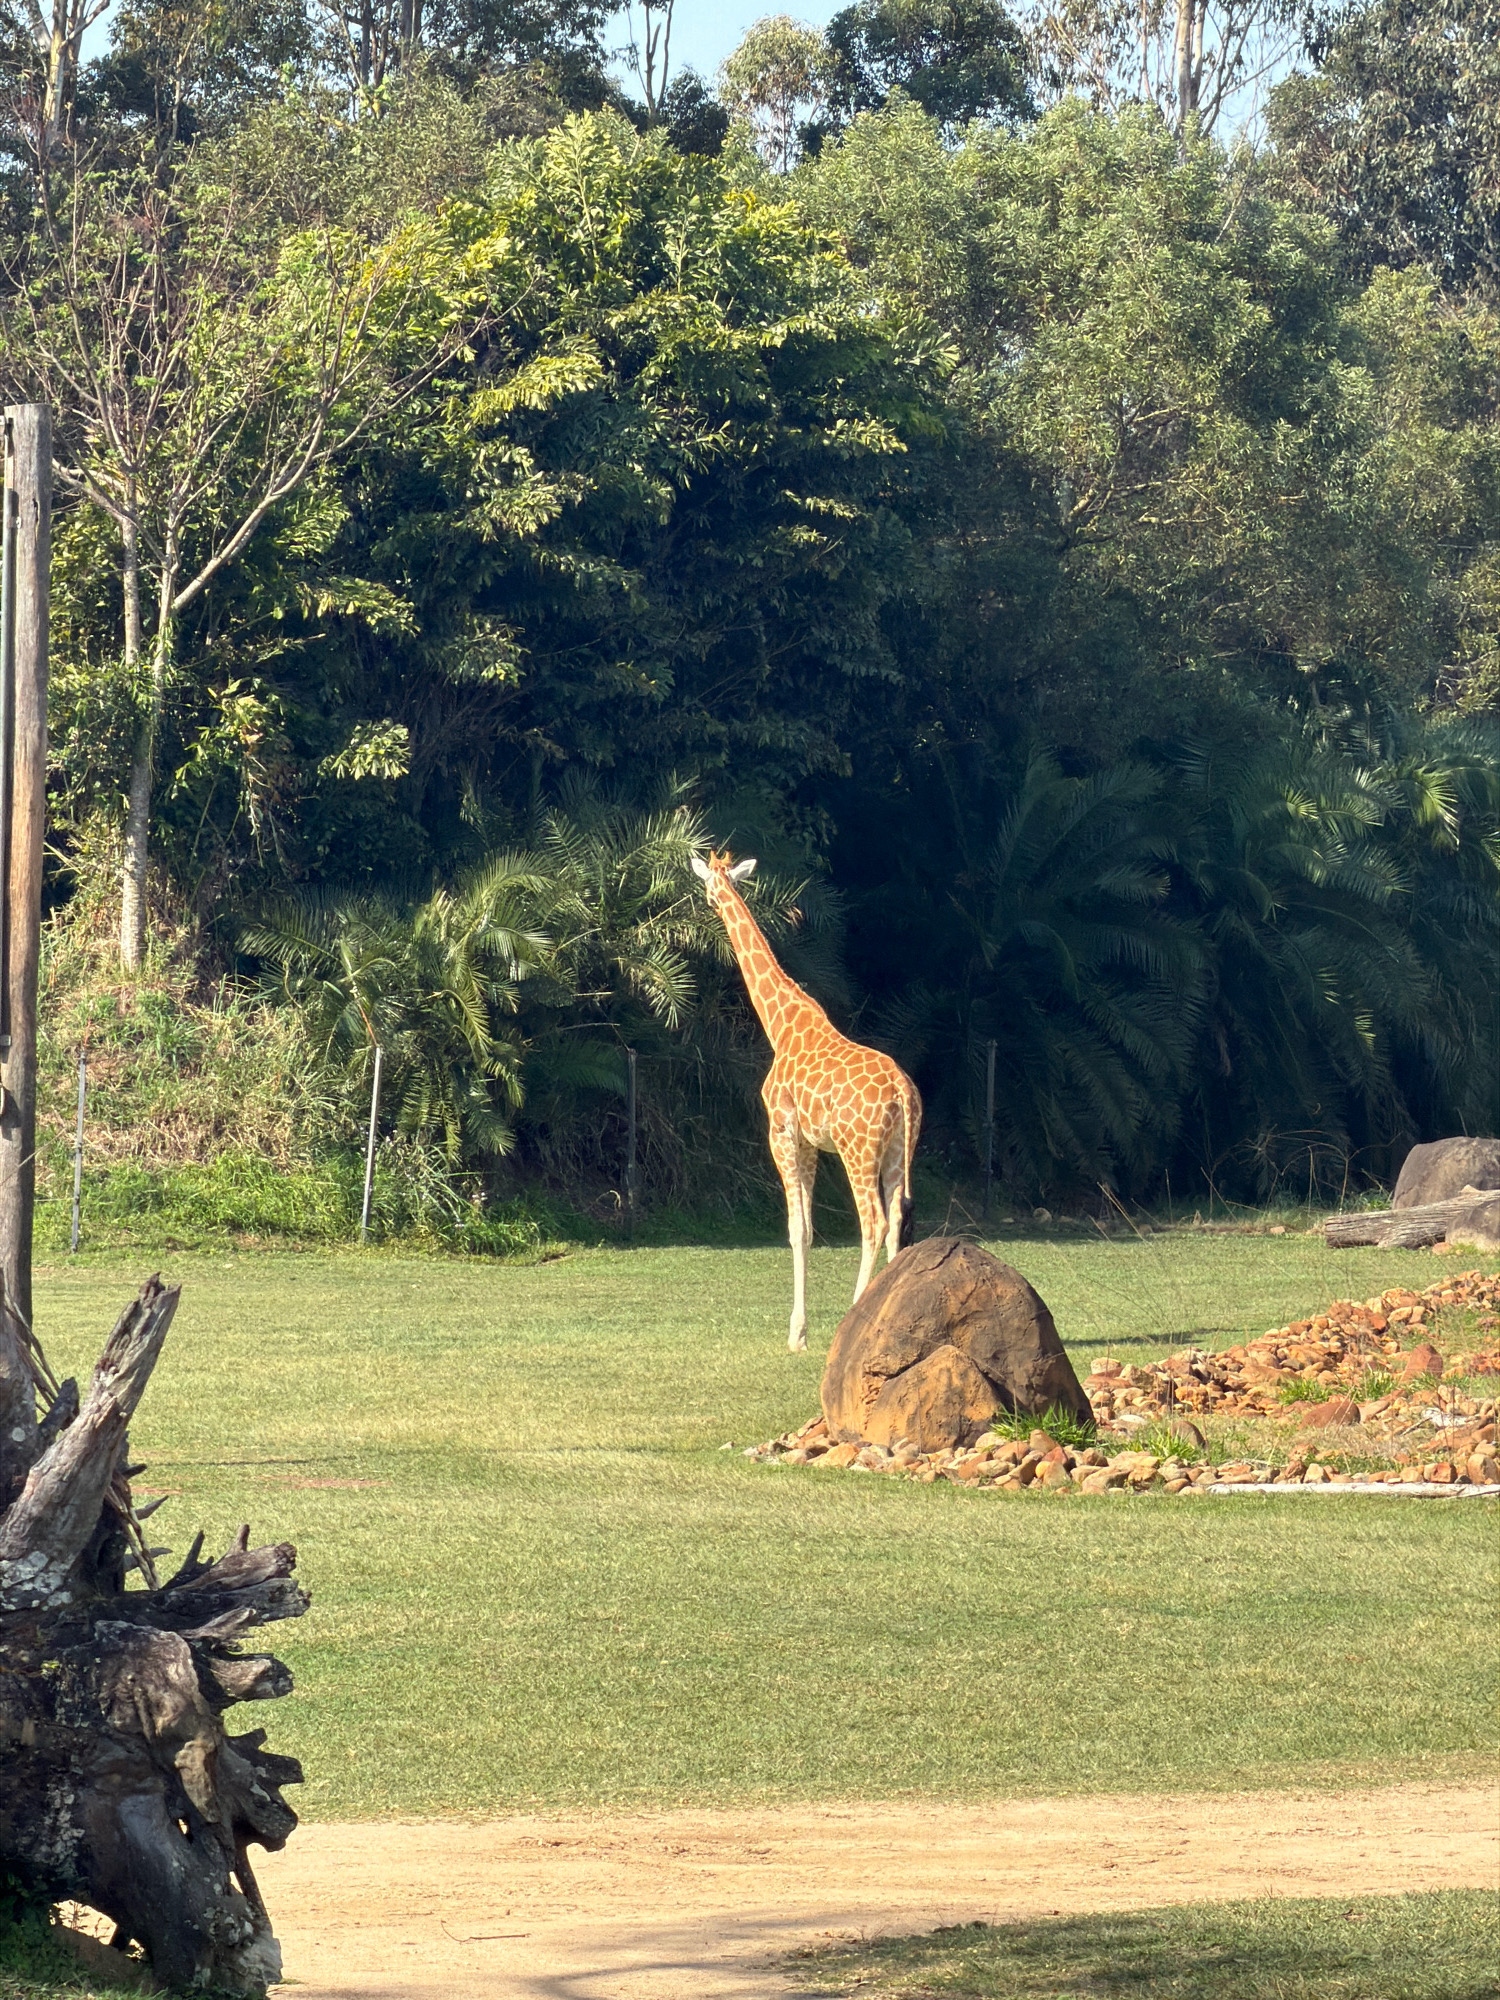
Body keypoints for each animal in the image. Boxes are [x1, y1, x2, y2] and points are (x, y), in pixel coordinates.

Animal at [692, 850, 921, 1351]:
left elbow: (797, 1230)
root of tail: (903, 1091)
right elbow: (811, 1231)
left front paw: (796, 1333)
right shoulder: (814, 1144)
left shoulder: (783, 1132)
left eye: (710, 885)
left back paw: (856, 1316)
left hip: (859, 1149)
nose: (712, 901)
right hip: (897, 1151)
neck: (780, 1024)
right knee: (896, 1219)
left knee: (873, 1221)